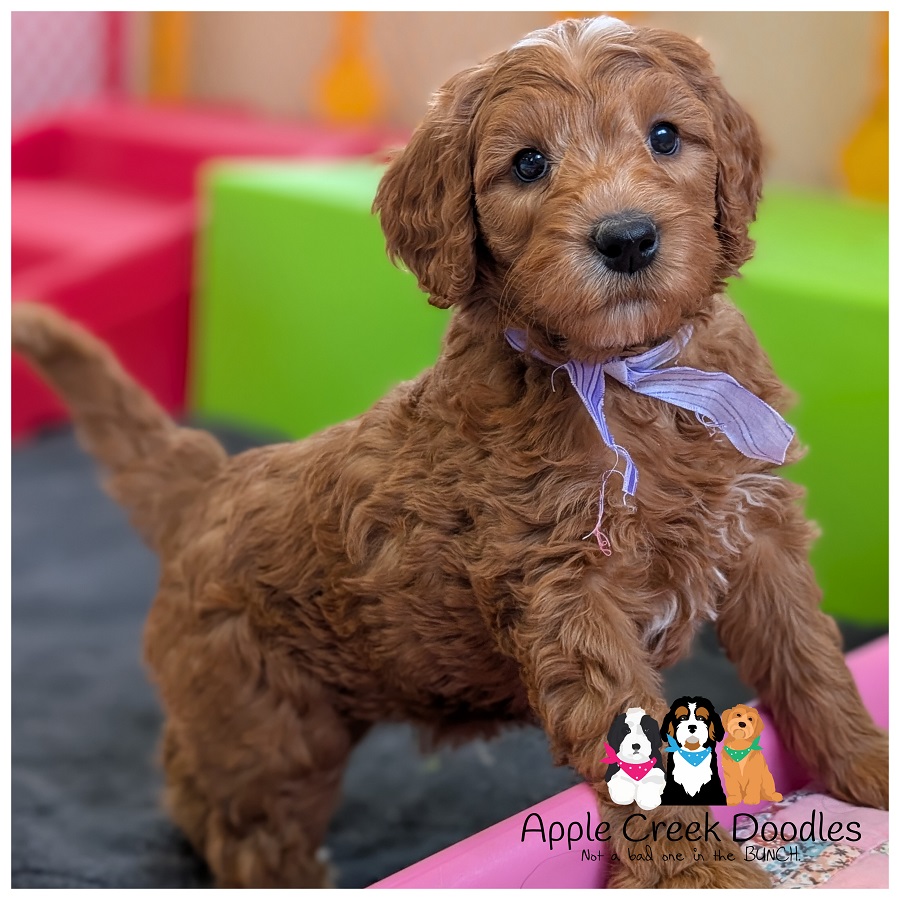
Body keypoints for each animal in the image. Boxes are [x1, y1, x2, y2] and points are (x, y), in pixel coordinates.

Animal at [12, 14, 887, 890]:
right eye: (527, 163)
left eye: (666, 136)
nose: (628, 237)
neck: (631, 376)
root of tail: (211, 481)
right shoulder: (564, 589)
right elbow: (628, 741)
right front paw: (699, 873)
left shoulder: (757, 533)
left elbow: (811, 661)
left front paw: (869, 767)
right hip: (266, 713)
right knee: (236, 812)